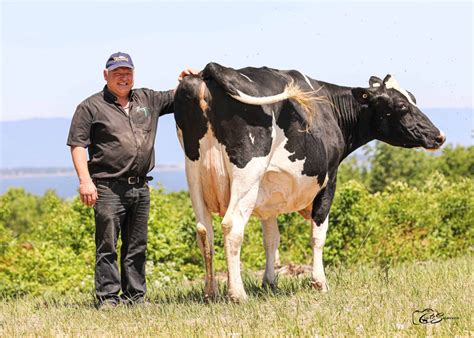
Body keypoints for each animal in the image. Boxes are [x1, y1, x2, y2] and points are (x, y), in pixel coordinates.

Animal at [173, 61, 444, 302]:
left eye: (413, 99)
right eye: (401, 105)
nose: (438, 136)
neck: (332, 108)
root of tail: (211, 69)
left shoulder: (268, 191)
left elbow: (271, 239)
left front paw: (270, 283)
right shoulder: (329, 179)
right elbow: (318, 234)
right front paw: (319, 282)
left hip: (194, 172)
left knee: (204, 230)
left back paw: (211, 292)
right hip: (247, 172)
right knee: (232, 226)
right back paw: (237, 294)